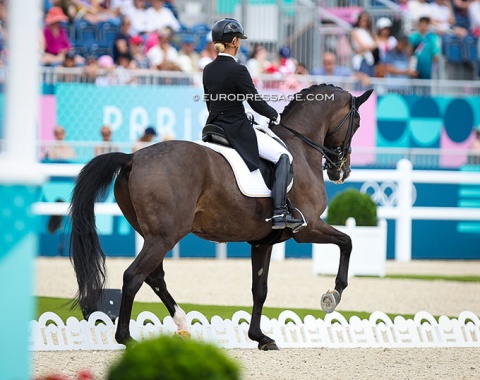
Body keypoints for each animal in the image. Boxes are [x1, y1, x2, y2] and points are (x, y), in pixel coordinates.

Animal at [69, 84, 374, 350]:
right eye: (357, 123)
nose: (341, 172)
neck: (298, 148)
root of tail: (132, 158)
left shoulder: (262, 242)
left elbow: (259, 289)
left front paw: (260, 337)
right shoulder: (308, 228)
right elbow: (347, 242)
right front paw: (333, 295)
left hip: (152, 236)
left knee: (154, 277)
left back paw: (182, 325)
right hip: (164, 237)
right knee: (134, 276)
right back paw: (127, 339)